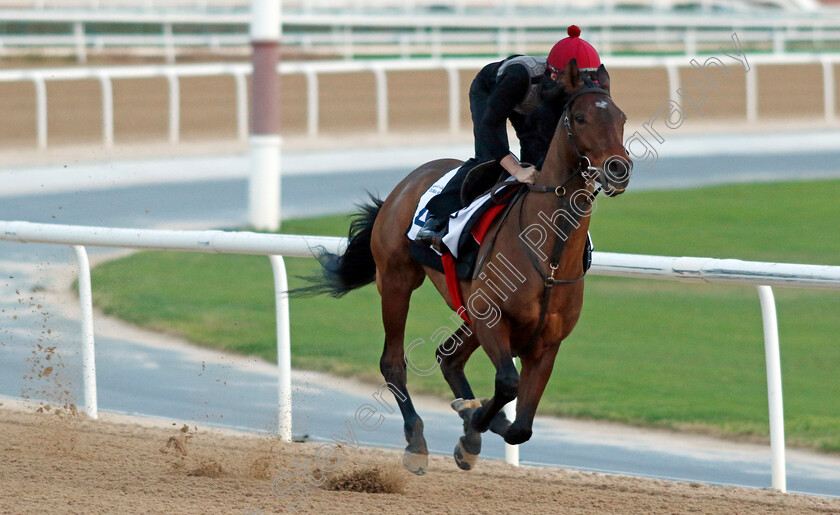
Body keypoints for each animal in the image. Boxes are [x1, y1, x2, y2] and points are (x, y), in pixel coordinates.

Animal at [296, 57, 632, 476]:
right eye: (582, 118)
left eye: (621, 117)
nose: (619, 169)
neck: (550, 256)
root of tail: (407, 182)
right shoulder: (493, 320)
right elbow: (507, 383)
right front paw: (471, 419)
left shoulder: (546, 343)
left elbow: (521, 426)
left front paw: (474, 426)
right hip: (397, 280)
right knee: (393, 362)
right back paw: (417, 441)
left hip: (466, 308)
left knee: (448, 357)